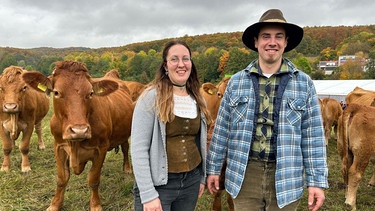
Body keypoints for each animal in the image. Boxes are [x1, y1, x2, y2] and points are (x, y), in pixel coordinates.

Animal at [22, 61, 134, 211]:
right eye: (56, 92)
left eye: (91, 93)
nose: (79, 130)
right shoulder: (58, 146)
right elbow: (61, 179)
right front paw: (55, 204)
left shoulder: (101, 148)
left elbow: (93, 179)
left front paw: (96, 205)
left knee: (125, 148)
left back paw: (127, 168)